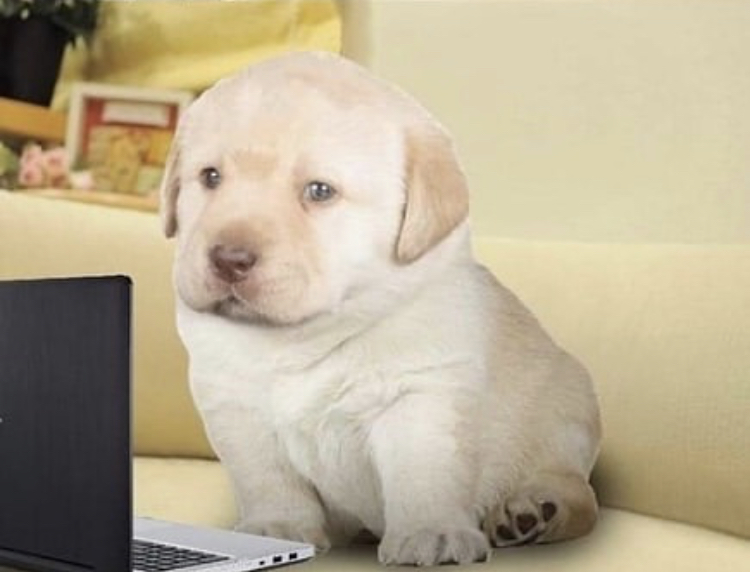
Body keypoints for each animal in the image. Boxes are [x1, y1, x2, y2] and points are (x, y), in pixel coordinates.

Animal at [160, 51, 601, 566]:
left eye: (319, 191)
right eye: (210, 177)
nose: (228, 258)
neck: (302, 337)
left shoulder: (420, 395)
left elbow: (422, 476)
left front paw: (431, 535)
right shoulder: (234, 406)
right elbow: (268, 480)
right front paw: (277, 530)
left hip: (565, 410)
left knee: (576, 490)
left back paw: (533, 510)